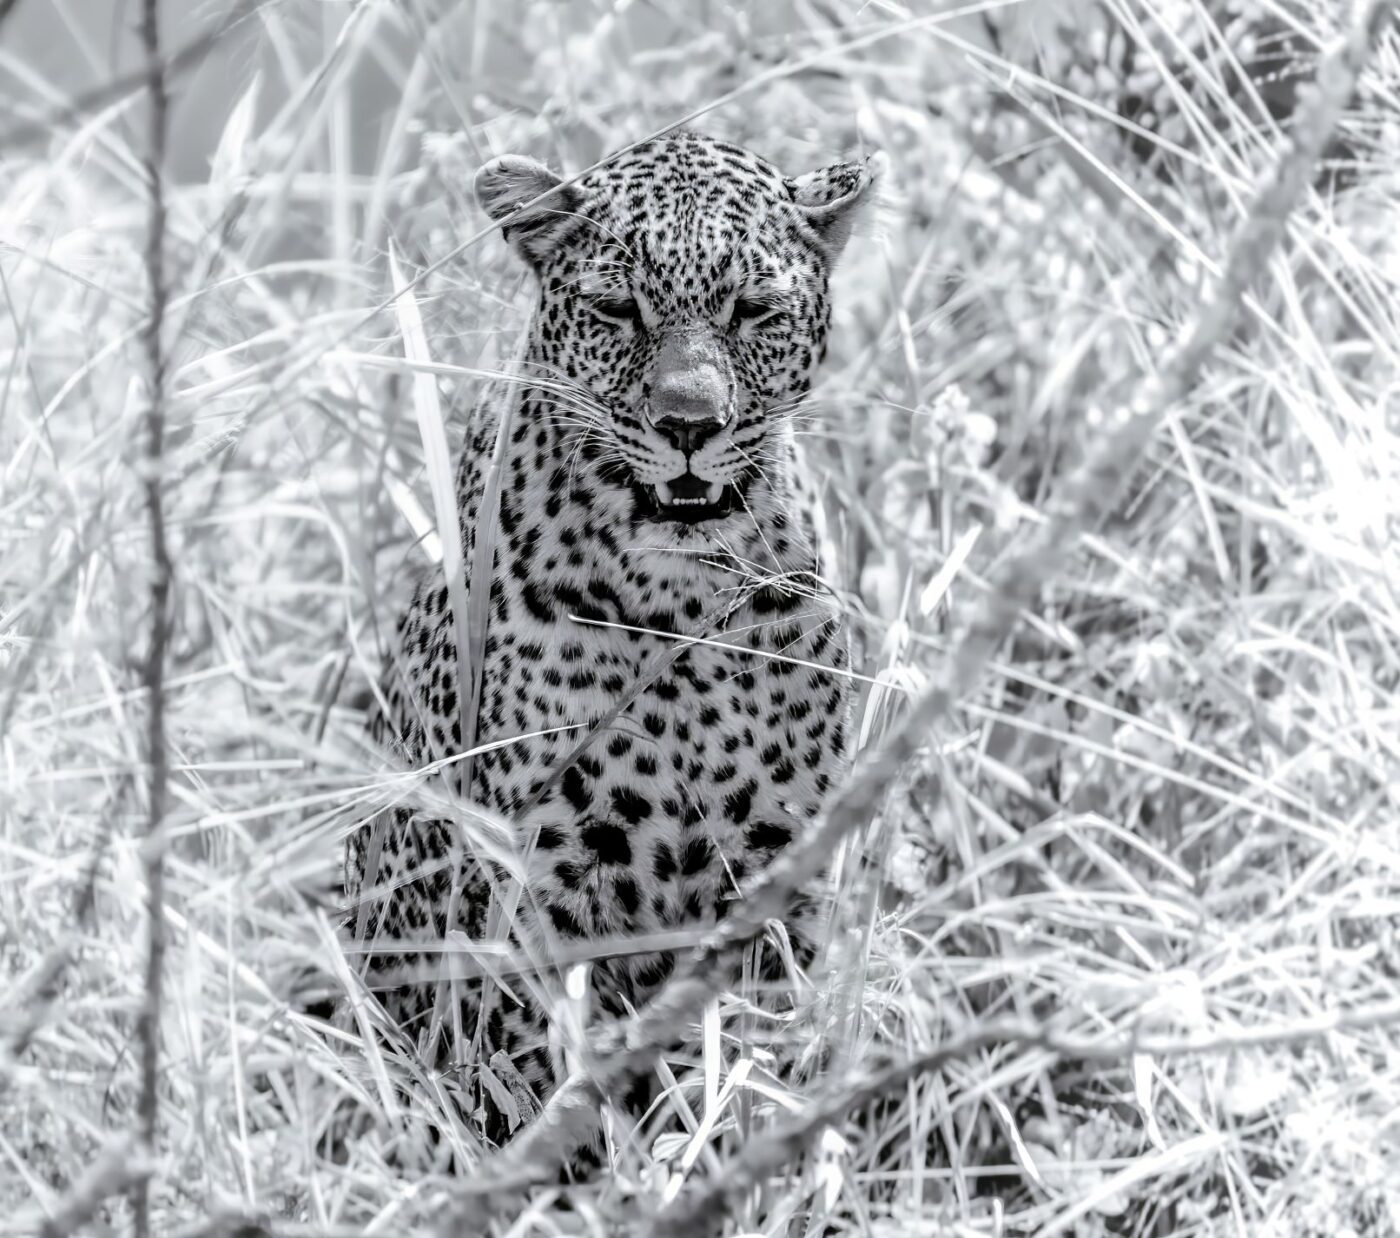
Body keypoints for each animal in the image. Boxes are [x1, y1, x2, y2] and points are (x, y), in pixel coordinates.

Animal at [344, 130, 881, 1143]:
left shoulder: (779, 872)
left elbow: (753, 1057)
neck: (681, 600)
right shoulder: (535, 893)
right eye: (614, 309)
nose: (689, 425)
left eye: (753, 310)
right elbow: (544, 1079)